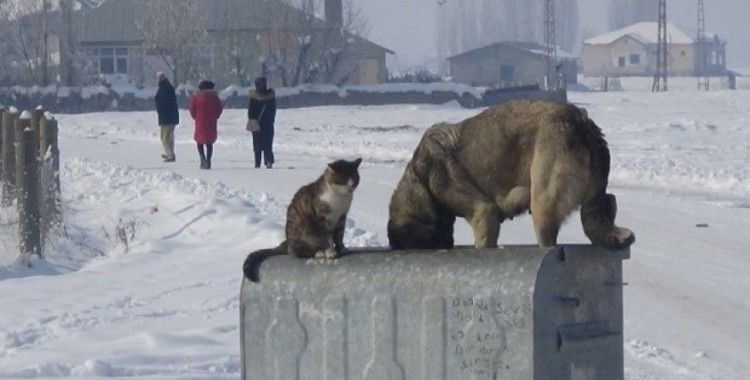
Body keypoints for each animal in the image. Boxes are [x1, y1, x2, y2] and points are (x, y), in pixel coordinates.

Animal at [390, 100, 636, 249]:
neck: (421, 178)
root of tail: (584, 125)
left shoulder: (483, 212)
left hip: (542, 204)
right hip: (597, 200)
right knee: (608, 202)